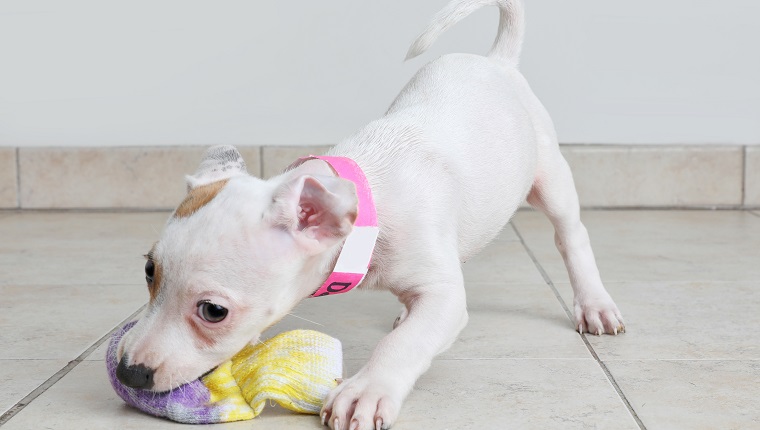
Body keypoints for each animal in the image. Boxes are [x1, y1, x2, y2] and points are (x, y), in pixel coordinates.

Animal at [114, 0, 624, 428]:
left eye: (213, 311)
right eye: (149, 272)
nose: (128, 372)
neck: (370, 212)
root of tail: (498, 60)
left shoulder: (445, 298)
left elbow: (407, 342)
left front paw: (367, 390)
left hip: (550, 176)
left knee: (571, 235)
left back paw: (594, 303)